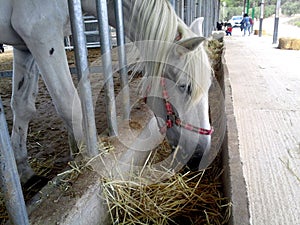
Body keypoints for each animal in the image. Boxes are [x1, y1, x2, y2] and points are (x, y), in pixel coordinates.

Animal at [0, 0, 212, 185]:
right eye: (185, 86)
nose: (200, 157)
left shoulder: (24, 47)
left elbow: (23, 107)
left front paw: (25, 172)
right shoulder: (41, 34)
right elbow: (69, 105)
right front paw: (87, 160)